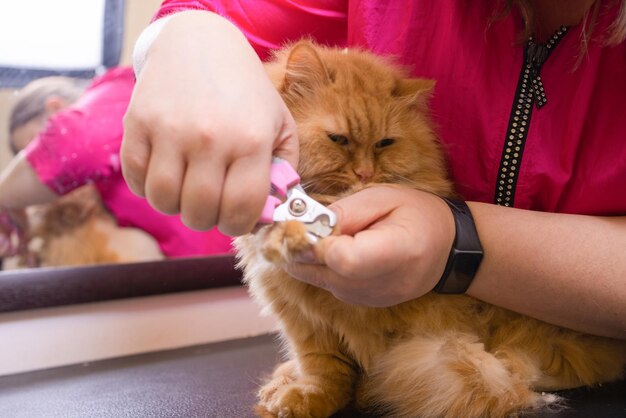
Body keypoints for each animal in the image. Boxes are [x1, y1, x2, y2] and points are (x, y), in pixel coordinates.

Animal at [232, 41, 620, 418]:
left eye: (384, 143)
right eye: (338, 139)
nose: (365, 174)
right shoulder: (306, 326)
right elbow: (323, 373)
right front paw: (304, 396)